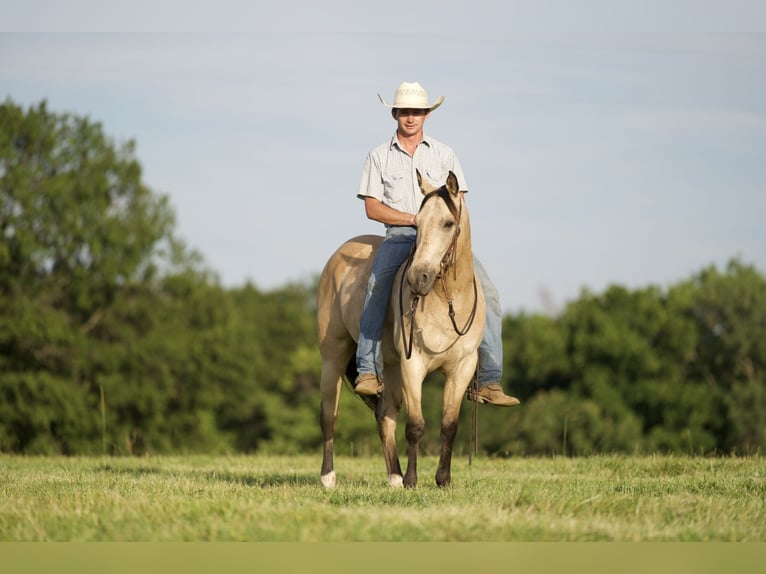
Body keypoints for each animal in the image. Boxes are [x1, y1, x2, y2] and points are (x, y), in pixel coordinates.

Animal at [317, 170, 485, 488]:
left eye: (448, 223)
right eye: (416, 223)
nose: (419, 278)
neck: (447, 301)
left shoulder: (462, 367)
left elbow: (449, 425)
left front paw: (443, 480)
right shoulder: (413, 364)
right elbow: (416, 425)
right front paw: (411, 480)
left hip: (391, 367)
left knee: (385, 416)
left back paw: (393, 476)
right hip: (334, 355)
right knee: (329, 415)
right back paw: (329, 477)